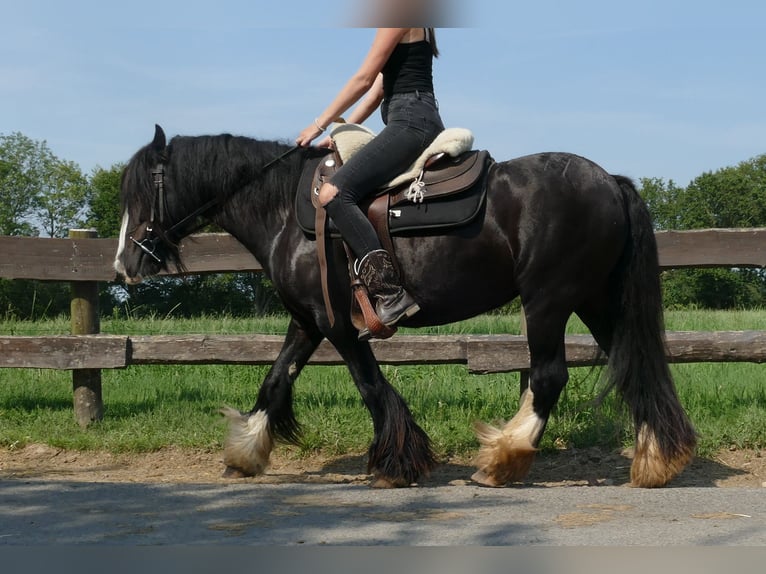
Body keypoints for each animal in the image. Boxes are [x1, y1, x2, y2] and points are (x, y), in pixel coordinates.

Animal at [115, 126, 704, 490]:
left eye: (142, 193)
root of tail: (610, 182)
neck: (286, 210)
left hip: (549, 301)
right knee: (634, 365)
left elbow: (371, 386)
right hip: (596, 299)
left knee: (549, 375)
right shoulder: (307, 321)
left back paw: (503, 458)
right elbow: (275, 380)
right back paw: (658, 458)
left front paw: (397, 464)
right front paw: (245, 453)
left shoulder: (337, 325)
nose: (124, 264)